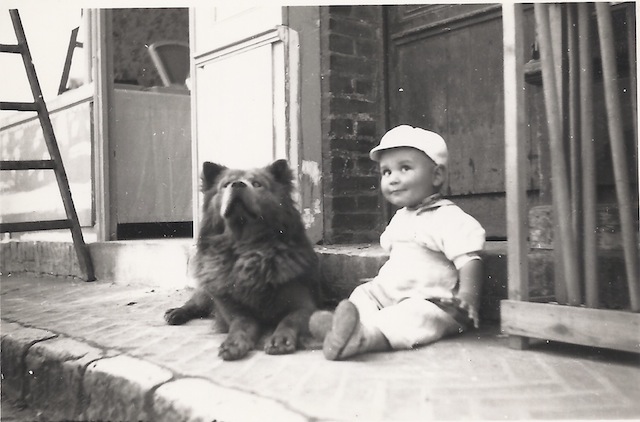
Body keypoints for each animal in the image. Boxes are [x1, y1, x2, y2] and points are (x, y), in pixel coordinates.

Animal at [165, 158, 320, 360]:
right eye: (225, 185)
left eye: (257, 184)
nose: (237, 184)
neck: (247, 248)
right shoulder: (233, 310)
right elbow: (241, 325)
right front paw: (233, 343)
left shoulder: (304, 305)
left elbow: (289, 320)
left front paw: (280, 340)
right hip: (206, 292)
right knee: (194, 303)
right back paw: (176, 313)